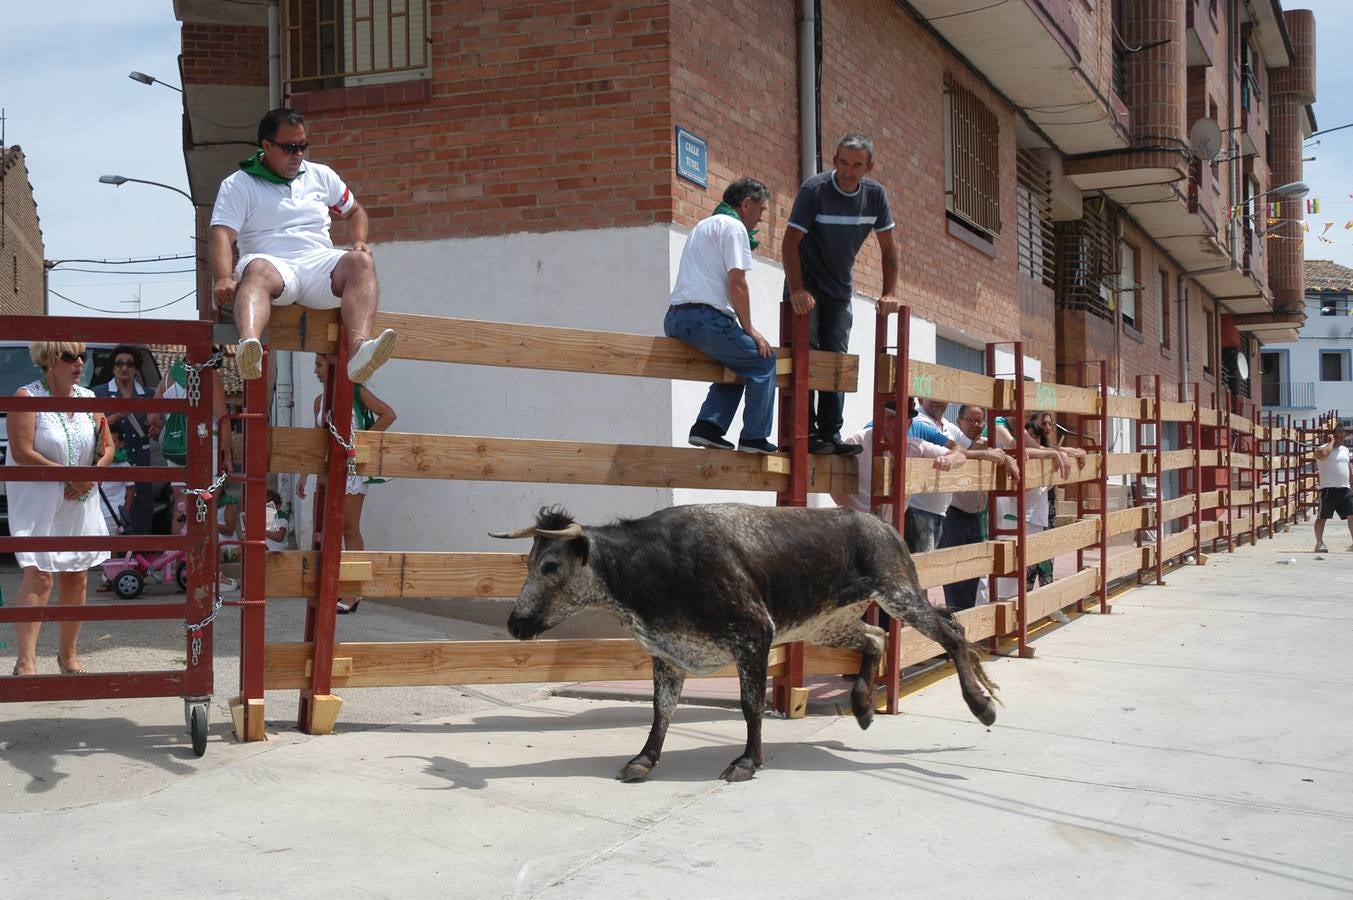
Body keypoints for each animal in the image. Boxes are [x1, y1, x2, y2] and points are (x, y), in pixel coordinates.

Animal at [492, 500, 1001, 784]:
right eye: (529, 563)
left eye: (550, 566)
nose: (515, 624)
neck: (650, 566)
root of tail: (882, 525)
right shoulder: (668, 652)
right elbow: (661, 710)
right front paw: (643, 760)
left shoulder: (754, 636)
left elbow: (750, 705)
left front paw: (747, 762)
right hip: (827, 622)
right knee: (875, 637)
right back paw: (861, 707)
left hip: (898, 593)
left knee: (952, 633)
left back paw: (981, 706)